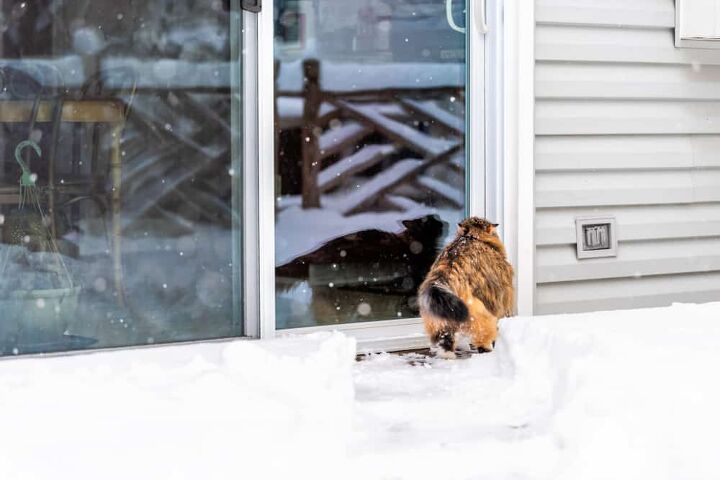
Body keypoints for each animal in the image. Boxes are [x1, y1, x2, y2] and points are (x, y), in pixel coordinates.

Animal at [420, 217, 516, 356]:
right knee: (483, 337)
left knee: (444, 342)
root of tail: (446, 273)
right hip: (480, 313)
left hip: (437, 318)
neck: (472, 237)